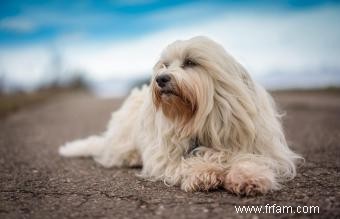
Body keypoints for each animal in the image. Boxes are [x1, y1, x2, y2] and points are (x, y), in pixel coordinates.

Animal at [59, 36, 302, 197]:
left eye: (190, 62)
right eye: (165, 65)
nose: (161, 78)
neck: (201, 119)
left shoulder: (258, 145)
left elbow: (249, 158)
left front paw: (249, 176)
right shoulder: (165, 156)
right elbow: (185, 162)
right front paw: (203, 172)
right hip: (123, 141)